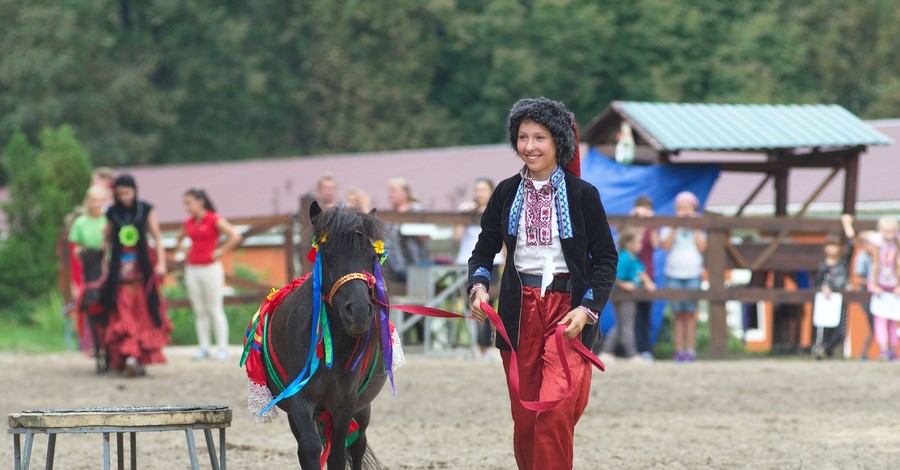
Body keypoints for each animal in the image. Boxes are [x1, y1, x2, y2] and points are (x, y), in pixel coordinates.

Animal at [253, 203, 394, 470]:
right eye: (328, 256)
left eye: (372, 257)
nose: (359, 312)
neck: (331, 348)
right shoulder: (299, 400)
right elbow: (310, 448)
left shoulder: (345, 403)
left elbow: (338, 453)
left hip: (363, 409)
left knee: (357, 445)